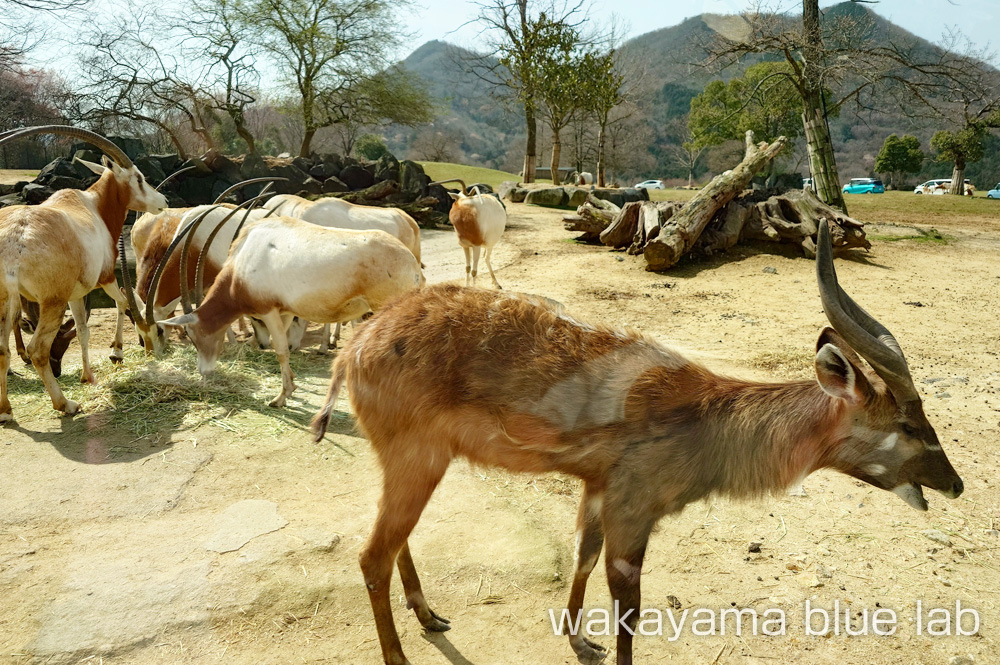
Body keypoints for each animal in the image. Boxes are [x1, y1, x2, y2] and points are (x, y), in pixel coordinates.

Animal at [0, 126, 168, 420]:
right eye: (139, 177)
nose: (163, 201)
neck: (94, 206)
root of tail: (13, 240)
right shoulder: (105, 277)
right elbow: (122, 303)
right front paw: (116, 353)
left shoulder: (76, 294)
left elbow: (81, 330)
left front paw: (88, 376)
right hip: (52, 302)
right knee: (37, 350)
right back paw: (65, 404)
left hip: (8, 300)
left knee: (1, 349)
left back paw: (5, 411)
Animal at [159, 219, 422, 404]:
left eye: (193, 336)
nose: (204, 372)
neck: (243, 264)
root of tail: (411, 263)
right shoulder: (283, 313)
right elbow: (285, 348)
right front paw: (293, 385)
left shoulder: (268, 311)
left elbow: (281, 351)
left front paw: (280, 397)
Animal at [310, 222, 960, 664]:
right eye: (907, 425)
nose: (953, 484)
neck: (707, 415)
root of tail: (355, 347)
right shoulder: (633, 512)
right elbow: (628, 610)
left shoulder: (598, 493)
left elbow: (582, 555)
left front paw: (578, 639)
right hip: (416, 460)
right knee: (372, 554)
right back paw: (400, 652)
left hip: (419, 462)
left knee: (395, 542)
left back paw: (431, 615)